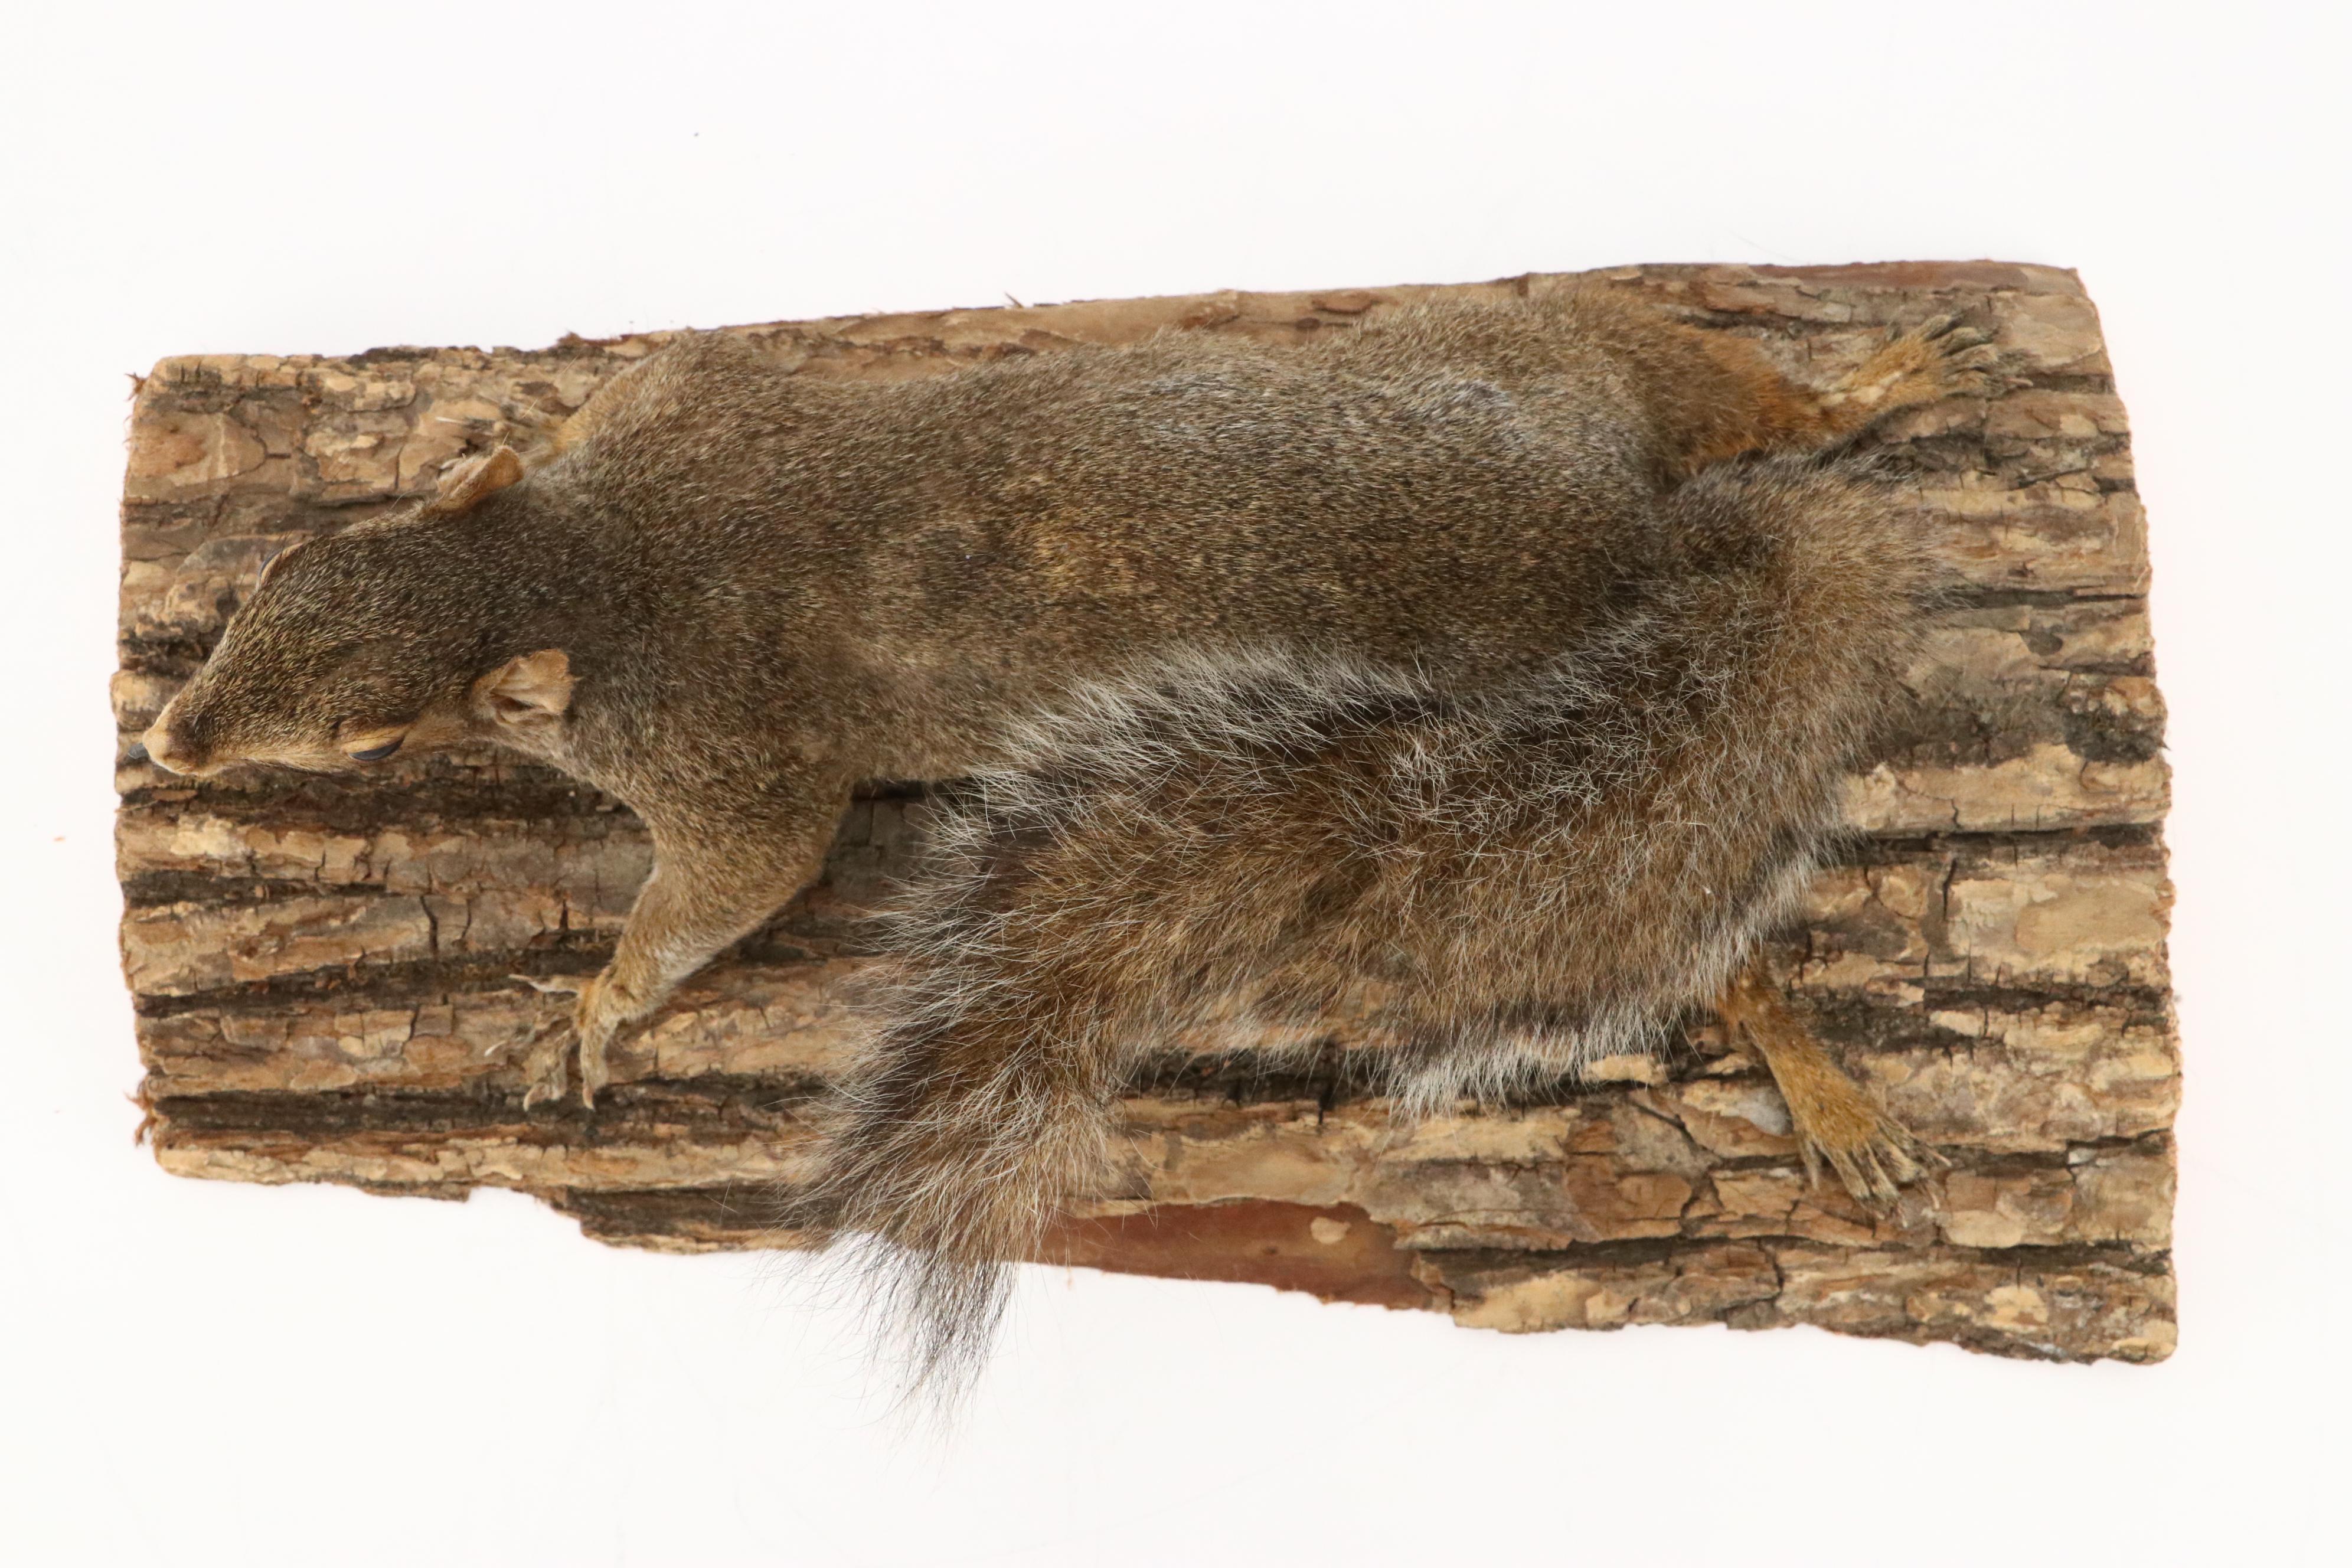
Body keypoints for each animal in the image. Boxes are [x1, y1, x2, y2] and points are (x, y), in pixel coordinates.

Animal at [141, 285, 1996, 1396]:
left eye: (374, 735)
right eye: (283, 571)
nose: (169, 740)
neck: (589, 566)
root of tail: (1636, 539)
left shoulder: (732, 759)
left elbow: (739, 880)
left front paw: (597, 1008)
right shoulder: (689, 407)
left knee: (1698, 909)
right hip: (1569, 351)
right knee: (1742, 408)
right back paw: (1867, 385)